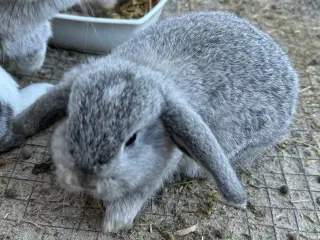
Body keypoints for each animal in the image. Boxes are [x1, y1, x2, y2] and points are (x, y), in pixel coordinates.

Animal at [0, 11, 300, 232]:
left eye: (131, 140)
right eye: (72, 119)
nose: (85, 179)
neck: (143, 67)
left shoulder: (160, 167)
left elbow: (140, 191)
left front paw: (115, 222)